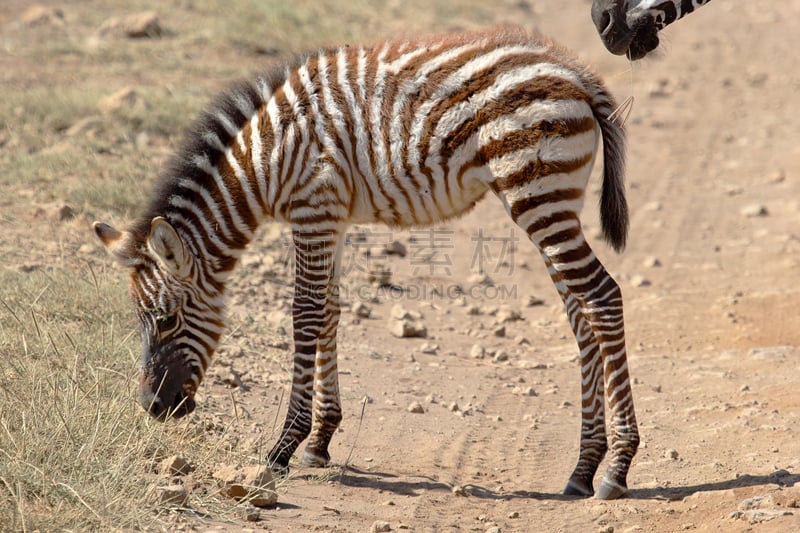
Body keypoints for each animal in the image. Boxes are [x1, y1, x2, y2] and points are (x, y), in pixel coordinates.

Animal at [95, 26, 644, 498]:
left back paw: (616, 469)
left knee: (602, 297)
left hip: (537, 192)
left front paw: (284, 447)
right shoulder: (330, 215)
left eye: (167, 319)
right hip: (553, 199)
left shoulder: (313, 207)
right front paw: (320, 442)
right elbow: (330, 313)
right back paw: (583, 468)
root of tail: (578, 72)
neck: (265, 157)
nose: (152, 408)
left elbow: (305, 314)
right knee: (579, 312)